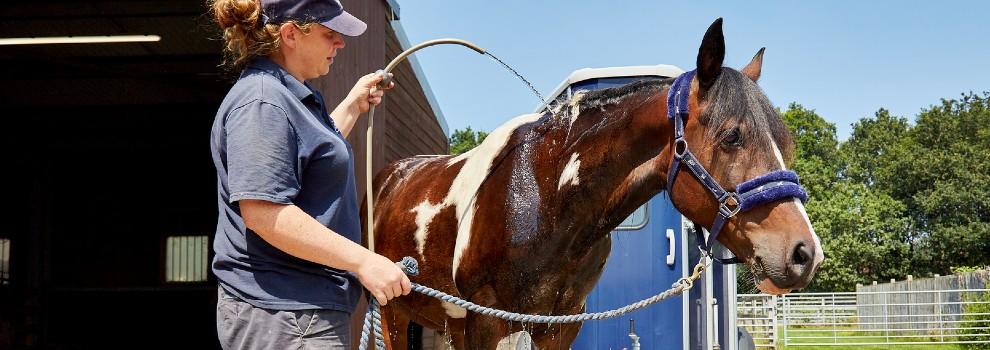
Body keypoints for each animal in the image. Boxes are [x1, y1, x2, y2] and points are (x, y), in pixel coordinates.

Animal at [368, 19, 824, 350]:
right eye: (732, 136)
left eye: (783, 143)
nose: (805, 253)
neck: (543, 199)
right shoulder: (486, 323)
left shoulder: (559, 325)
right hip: (393, 312)